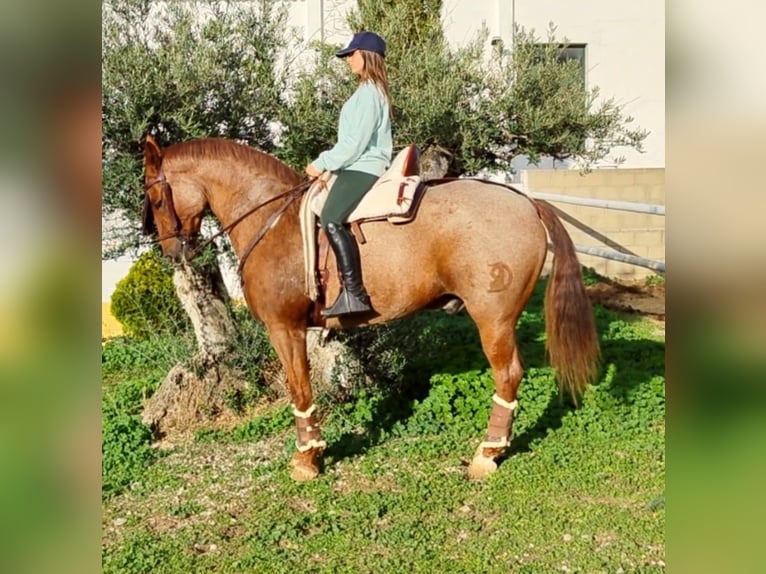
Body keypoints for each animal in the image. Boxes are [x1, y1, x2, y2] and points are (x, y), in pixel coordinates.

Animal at [141, 137, 604, 484]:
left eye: (155, 198)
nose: (171, 252)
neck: (274, 220)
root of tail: (526, 202)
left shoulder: (285, 329)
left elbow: (299, 389)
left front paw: (307, 458)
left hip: (493, 319)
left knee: (507, 375)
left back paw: (487, 453)